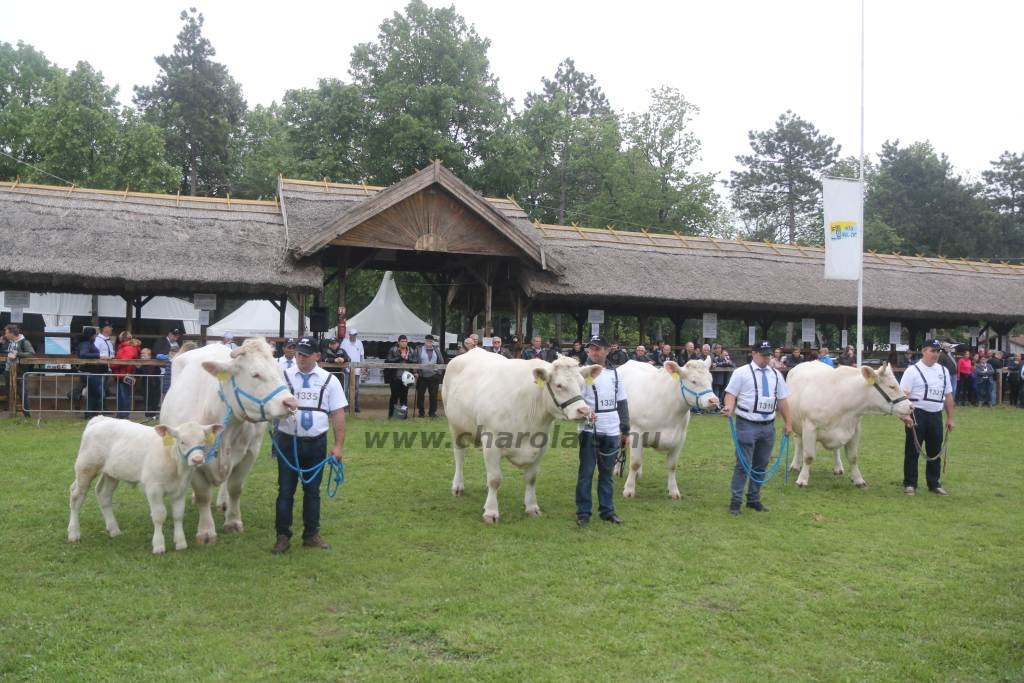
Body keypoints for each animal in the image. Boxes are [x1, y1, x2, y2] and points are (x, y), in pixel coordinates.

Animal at [67, 417, 223, 557]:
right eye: (182, 441)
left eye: (203, 441)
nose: (197, 459)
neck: (175, 463)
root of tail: (99, 419)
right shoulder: (153, 489)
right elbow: (159, 516)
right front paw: (159, 546)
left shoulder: (180, 489)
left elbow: (178, 515)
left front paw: (180, 543)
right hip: (85, 467)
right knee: (76, 496)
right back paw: (74, 533)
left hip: (111, 473)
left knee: (103, 494)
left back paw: (114, 530)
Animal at [159, 337, 296, 544]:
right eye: (255, 374)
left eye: (279, 371)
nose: (290, 403)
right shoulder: (191, 457)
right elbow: (203, 495)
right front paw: (206, 532)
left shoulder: (250, 453)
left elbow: (235, 488)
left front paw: (233, 521)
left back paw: (223, 503)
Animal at [442, 350, 598, 520]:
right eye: (559, 385)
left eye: (582, 384)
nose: (583, 411)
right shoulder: (491, 442)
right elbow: (495, 479)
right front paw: (491, 512)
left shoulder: (541, 445)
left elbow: (531, 478)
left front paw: (532, 507)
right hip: (455, 426)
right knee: (460, 457)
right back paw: (458, 486)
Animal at [614, 360, 720, 499]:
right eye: (693, 381)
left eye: (711, 379)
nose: (714, 401)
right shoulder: (637, 432)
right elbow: (635, 462)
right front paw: (629, 490)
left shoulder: (680, 438)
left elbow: (672, 465)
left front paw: (674, 491)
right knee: (620, 447)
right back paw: (616, 470)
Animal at [782, 360, 913, 489]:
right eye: (892, 386)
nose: (911, 406)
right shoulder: (810, 427)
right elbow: (808, 457)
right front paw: (802, 480)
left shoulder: (854, 429)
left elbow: (853, 457)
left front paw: (858, 480)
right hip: (796, 423)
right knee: (799, 442)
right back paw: (795, 465)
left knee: (835, 449)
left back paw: (838, 467)